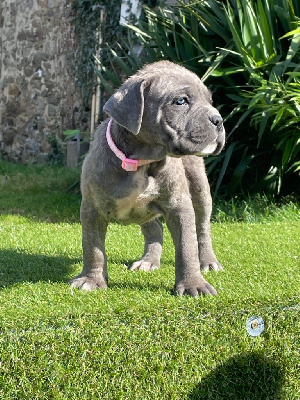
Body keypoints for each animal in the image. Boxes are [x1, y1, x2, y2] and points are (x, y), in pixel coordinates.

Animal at [71, 60, 225, 296]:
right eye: (181, 101)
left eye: (210, 101)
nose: (218, 119)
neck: (142, 161)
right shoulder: (92, 208)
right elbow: (92, 246)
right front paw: (91, 279)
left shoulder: (179, 206)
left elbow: (186, 246)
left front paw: (193, 284)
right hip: (145, 209)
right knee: (154, 227)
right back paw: (149, 261)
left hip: (199, 189)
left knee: (202, 228)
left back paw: (208, 261)